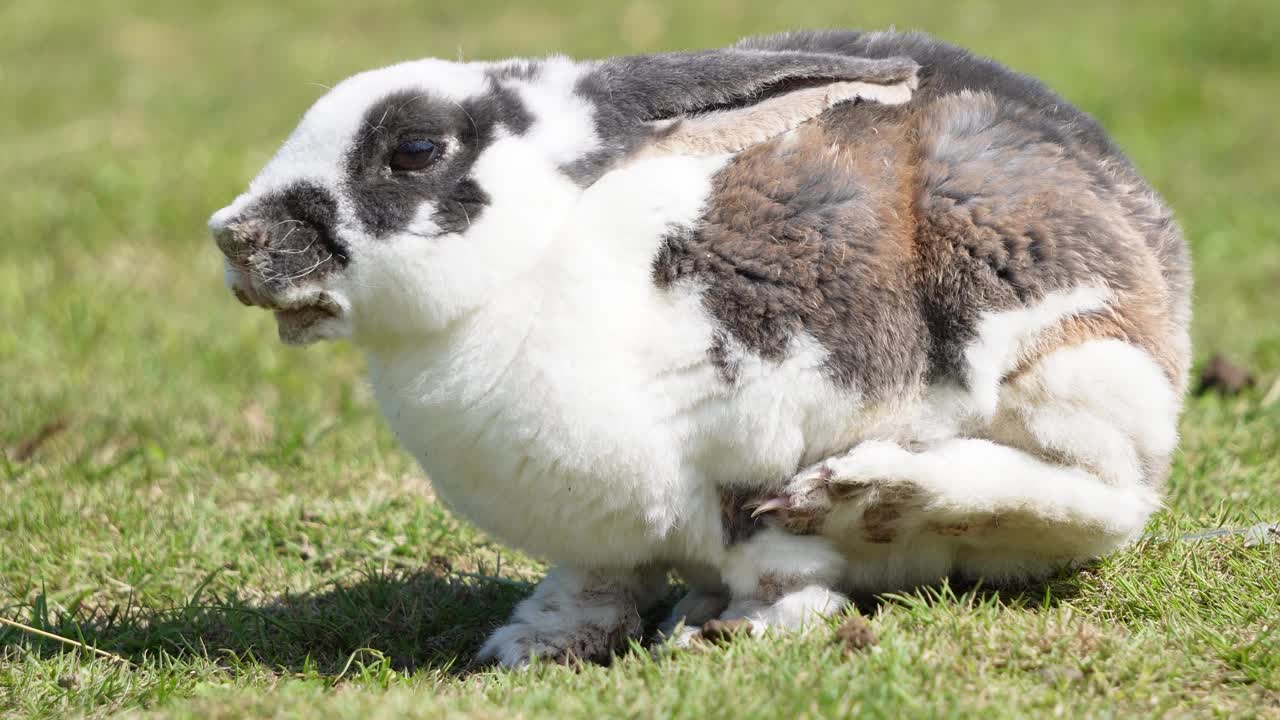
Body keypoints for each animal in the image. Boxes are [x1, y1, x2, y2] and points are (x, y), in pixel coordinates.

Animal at [207, 29, 1187, 666]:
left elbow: (776, 559)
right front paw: (531, 643)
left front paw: (739, 632)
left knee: (1102, 496)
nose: (234, 237)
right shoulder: (598, 536)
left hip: (1068, 360)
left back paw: (884, 493)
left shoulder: (761, 451)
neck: (536, 258)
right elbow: (597, 583)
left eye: (413, 149)